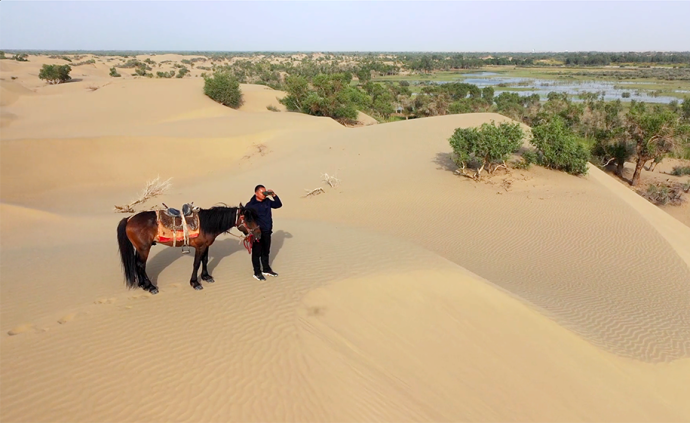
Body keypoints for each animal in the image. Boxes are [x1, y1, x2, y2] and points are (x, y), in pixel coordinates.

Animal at [117, 205, 260, 294]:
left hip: (140, 249)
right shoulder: (200, 247)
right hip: (144, 249)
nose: (259, 234)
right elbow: (196, 263)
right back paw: (151, 287)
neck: (206, 224)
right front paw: (195, 283)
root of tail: (129, 219)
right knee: (141, 265)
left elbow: (205, 260)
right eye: (248, 220)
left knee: (137, 264)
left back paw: (143, 285)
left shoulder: (206, 246)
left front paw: (206, 277)